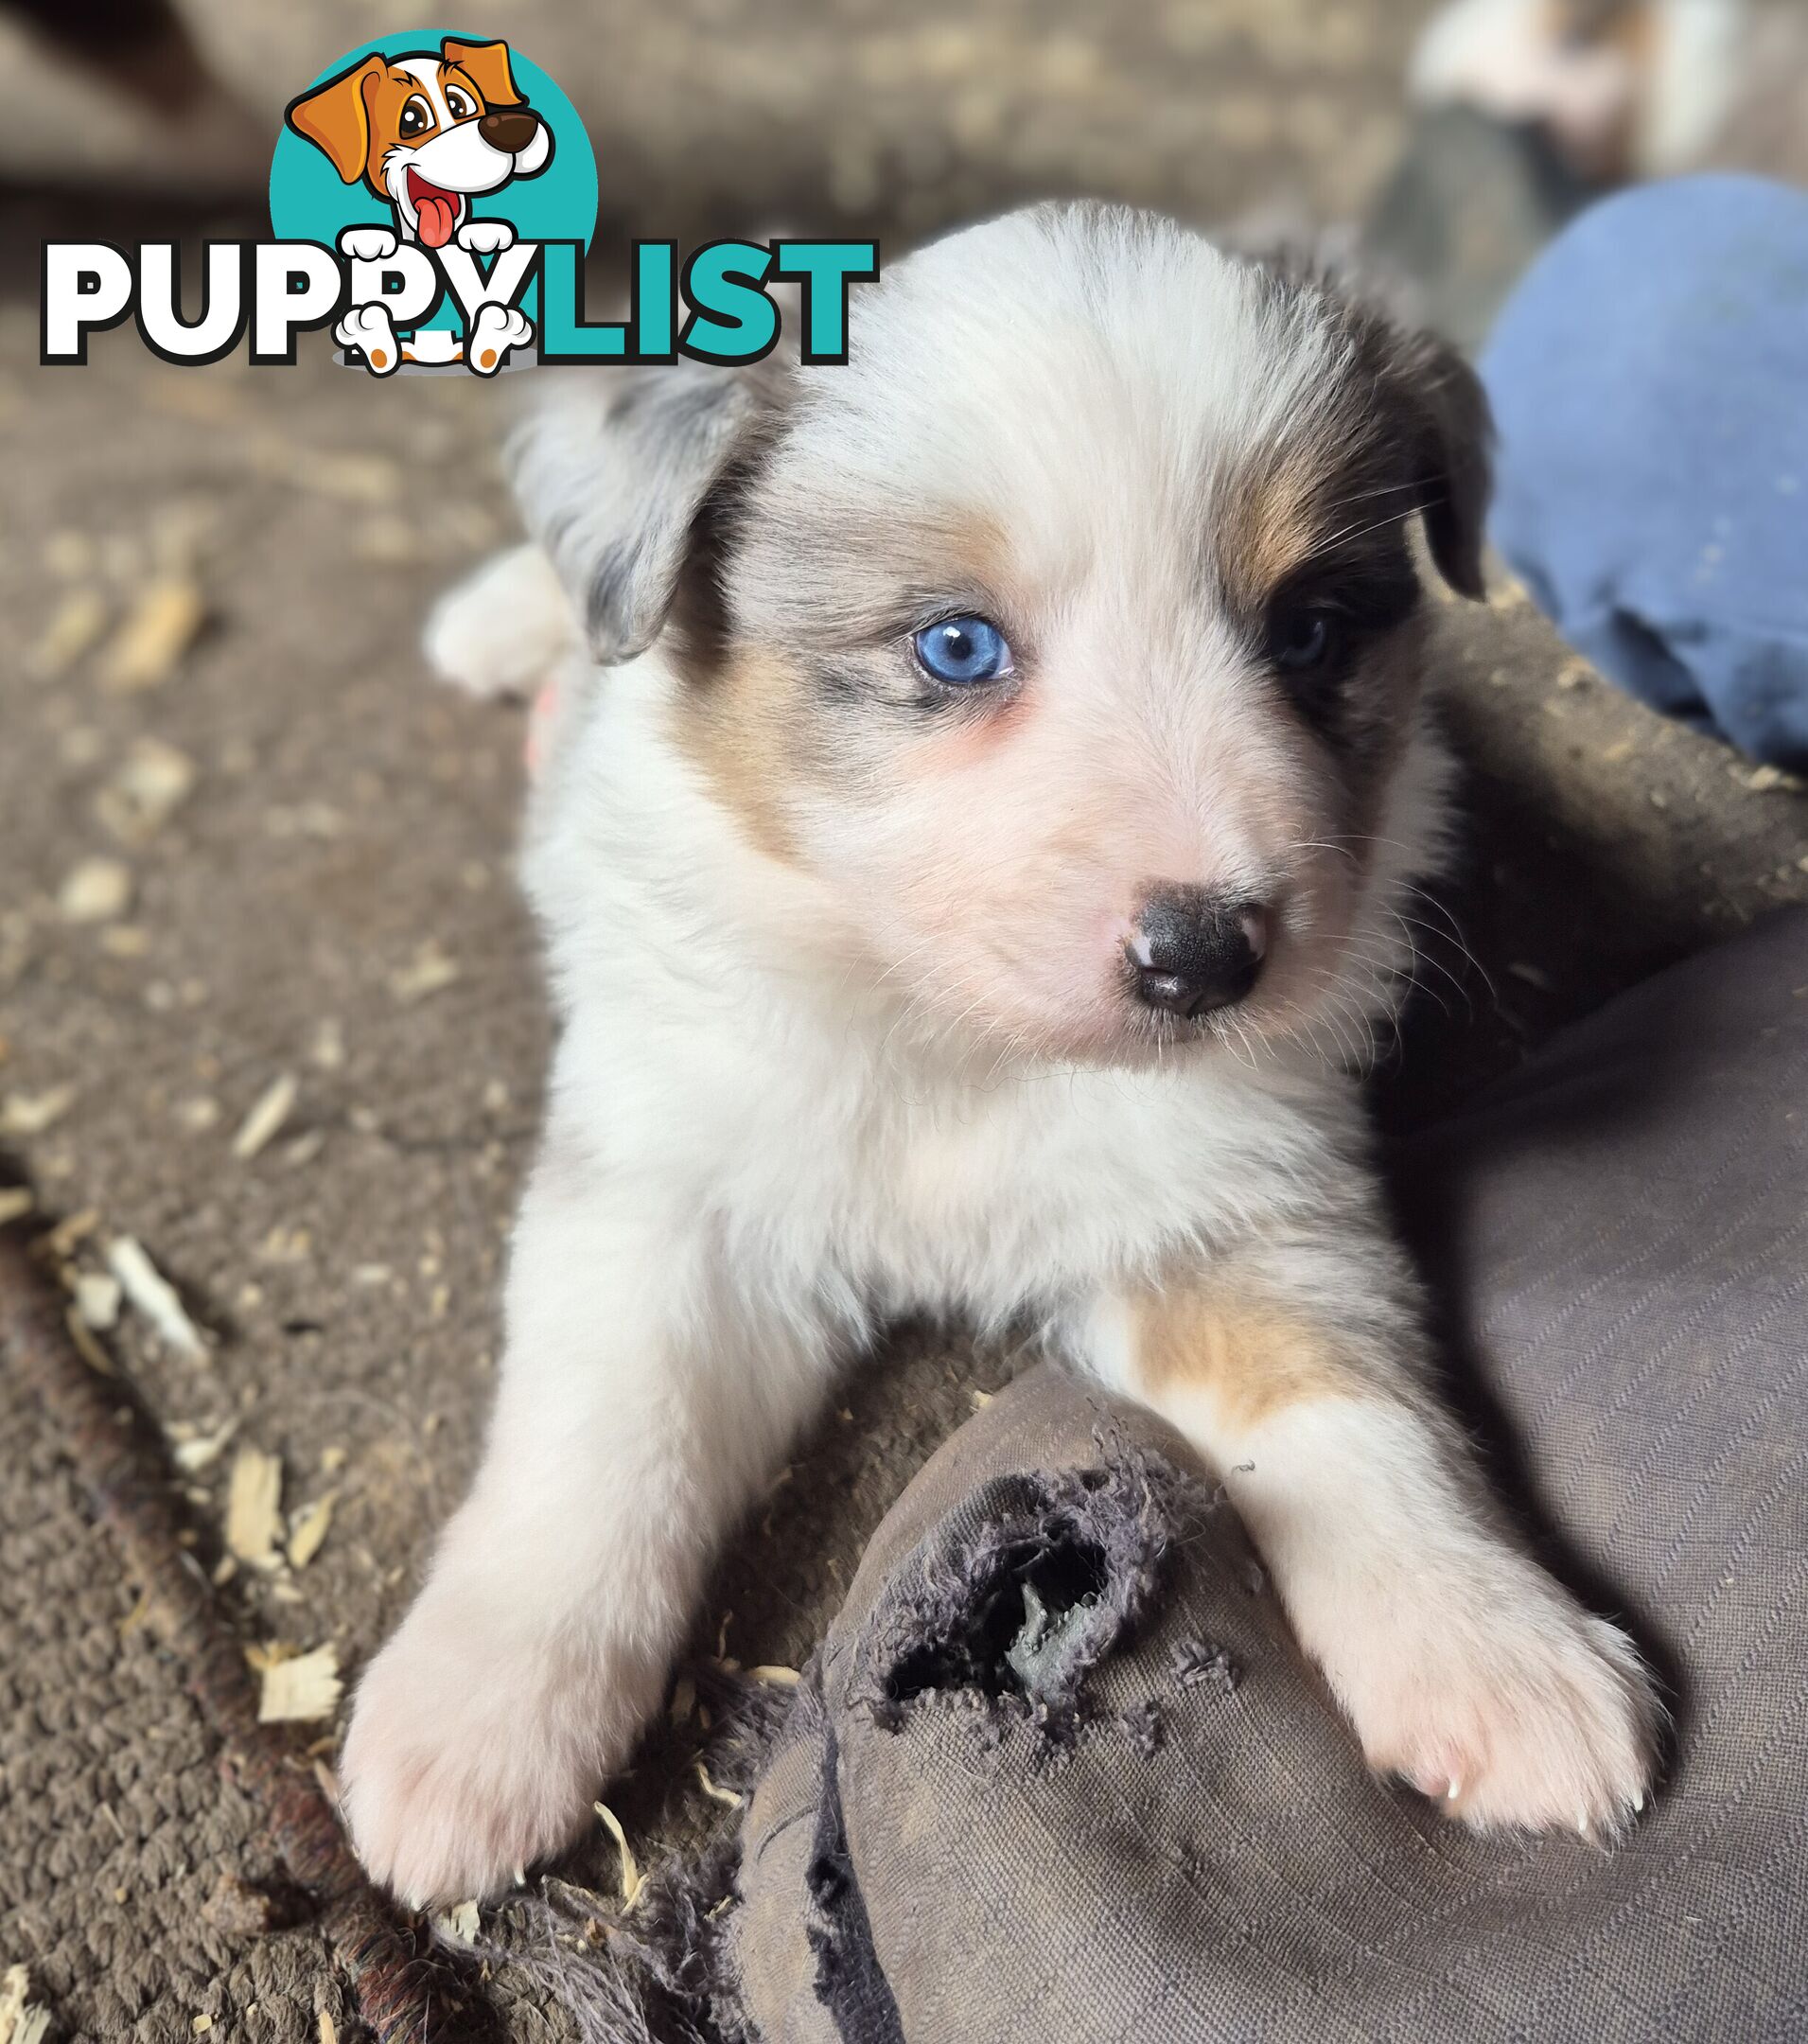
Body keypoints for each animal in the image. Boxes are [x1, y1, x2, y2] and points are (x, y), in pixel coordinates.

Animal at [344, 199, 1659, 1905]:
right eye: (957, 648)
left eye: (1308, 630)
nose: (1204, 958)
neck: (952, 1040)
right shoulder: (664, 1190)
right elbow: (600, 1446)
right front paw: (471, 1725)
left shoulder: (1245, 1213)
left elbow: (1353, 1423)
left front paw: (1499, 1652)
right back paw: (507, 621)